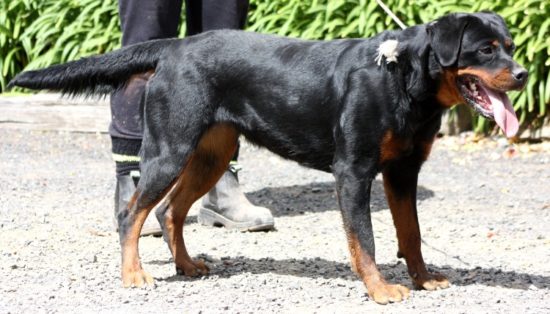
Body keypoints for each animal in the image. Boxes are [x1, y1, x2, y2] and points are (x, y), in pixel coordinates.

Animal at [7, 11, 528, 302]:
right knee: (132, 212)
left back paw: (188, 267)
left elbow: (412, 234)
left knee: (169, 210)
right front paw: (381, 290)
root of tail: (176, 46)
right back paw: (134, 275)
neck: (400, 77)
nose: (523, 74)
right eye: (485, 50)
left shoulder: (403, 171)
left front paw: (422, 280)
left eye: (511, 47)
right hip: (170, 148)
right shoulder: (354, 171)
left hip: (211, 155)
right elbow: (365, 240)